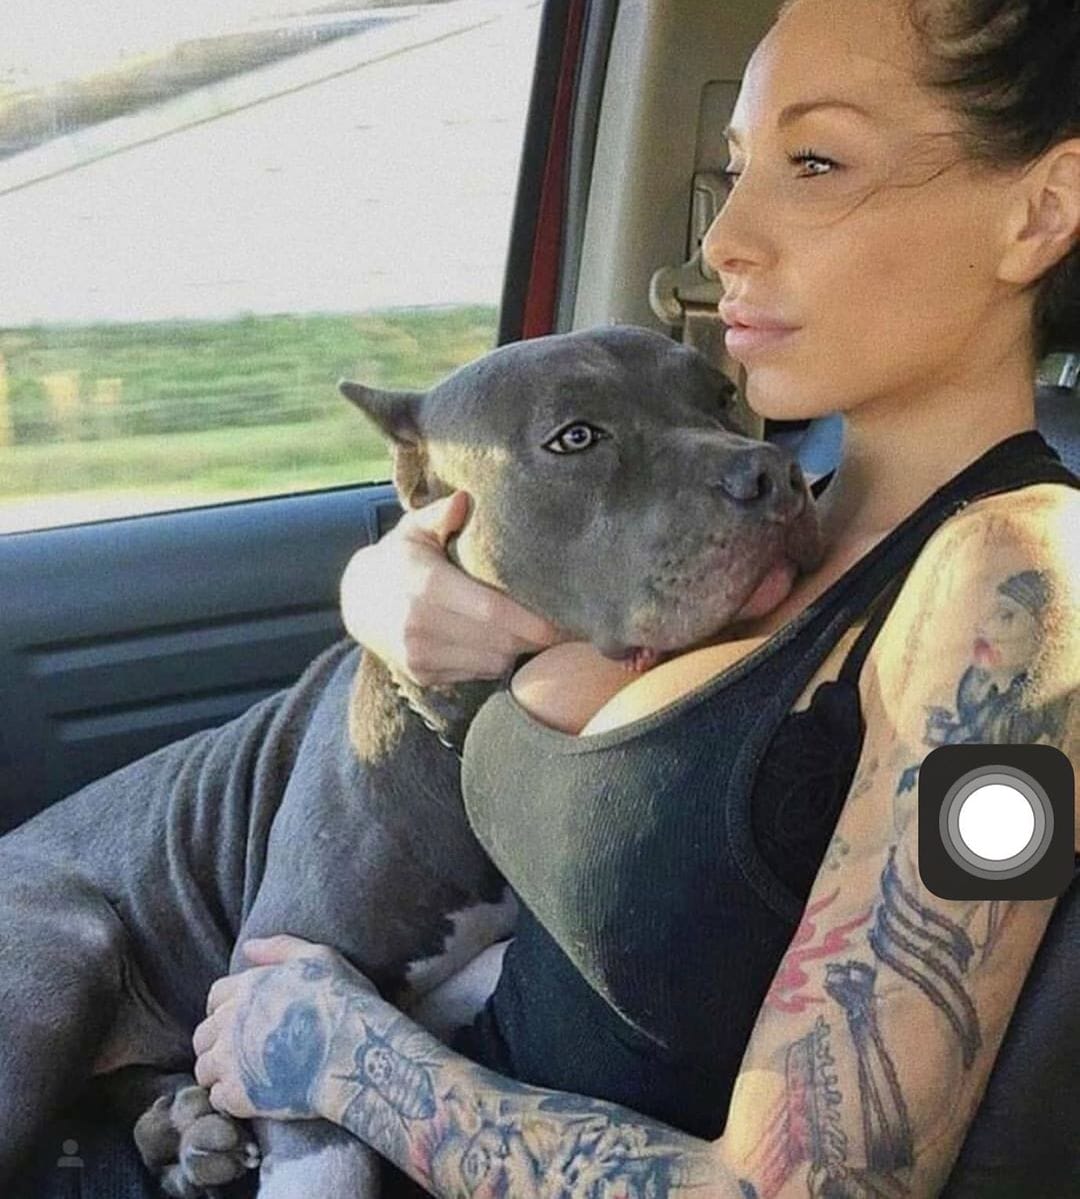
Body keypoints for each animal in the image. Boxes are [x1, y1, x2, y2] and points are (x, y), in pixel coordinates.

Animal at [0, 325, 822, 1198]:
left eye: (723, 396)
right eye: (575, 437)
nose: (771, 473)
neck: (462, 737)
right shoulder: (274, 978)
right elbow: (324, 1145)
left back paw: (186, 1128)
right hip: (67, 944)